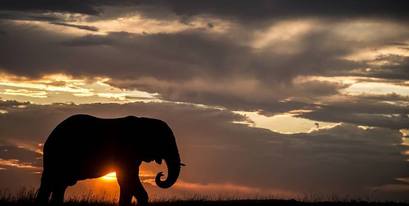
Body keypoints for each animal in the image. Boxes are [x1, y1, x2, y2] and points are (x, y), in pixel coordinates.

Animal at [36, 115, 183, 205]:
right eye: (165, 141)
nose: (161, 174)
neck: (144, 121)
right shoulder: (126, 153)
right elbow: (127, 178)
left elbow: (126, 181)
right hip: (56, 157)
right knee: (49, 183)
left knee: (59, 186)